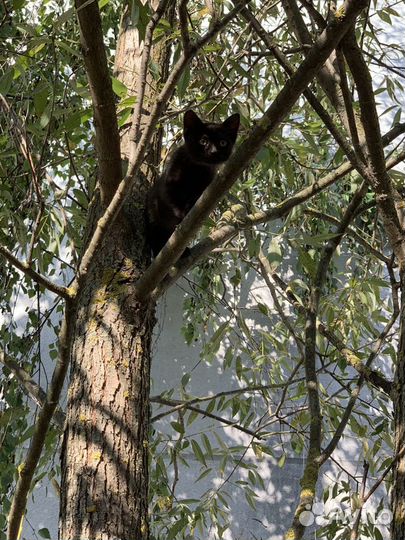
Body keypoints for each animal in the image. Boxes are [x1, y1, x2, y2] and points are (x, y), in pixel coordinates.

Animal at [146, 109, 238, 258]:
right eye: (203, 141)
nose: (213, 151)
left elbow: (196, 200)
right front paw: (181, 215)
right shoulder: (170, 183)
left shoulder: (206, 188)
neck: (196, 169)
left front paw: (190, 208)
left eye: (223, 142)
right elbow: (172, 199)